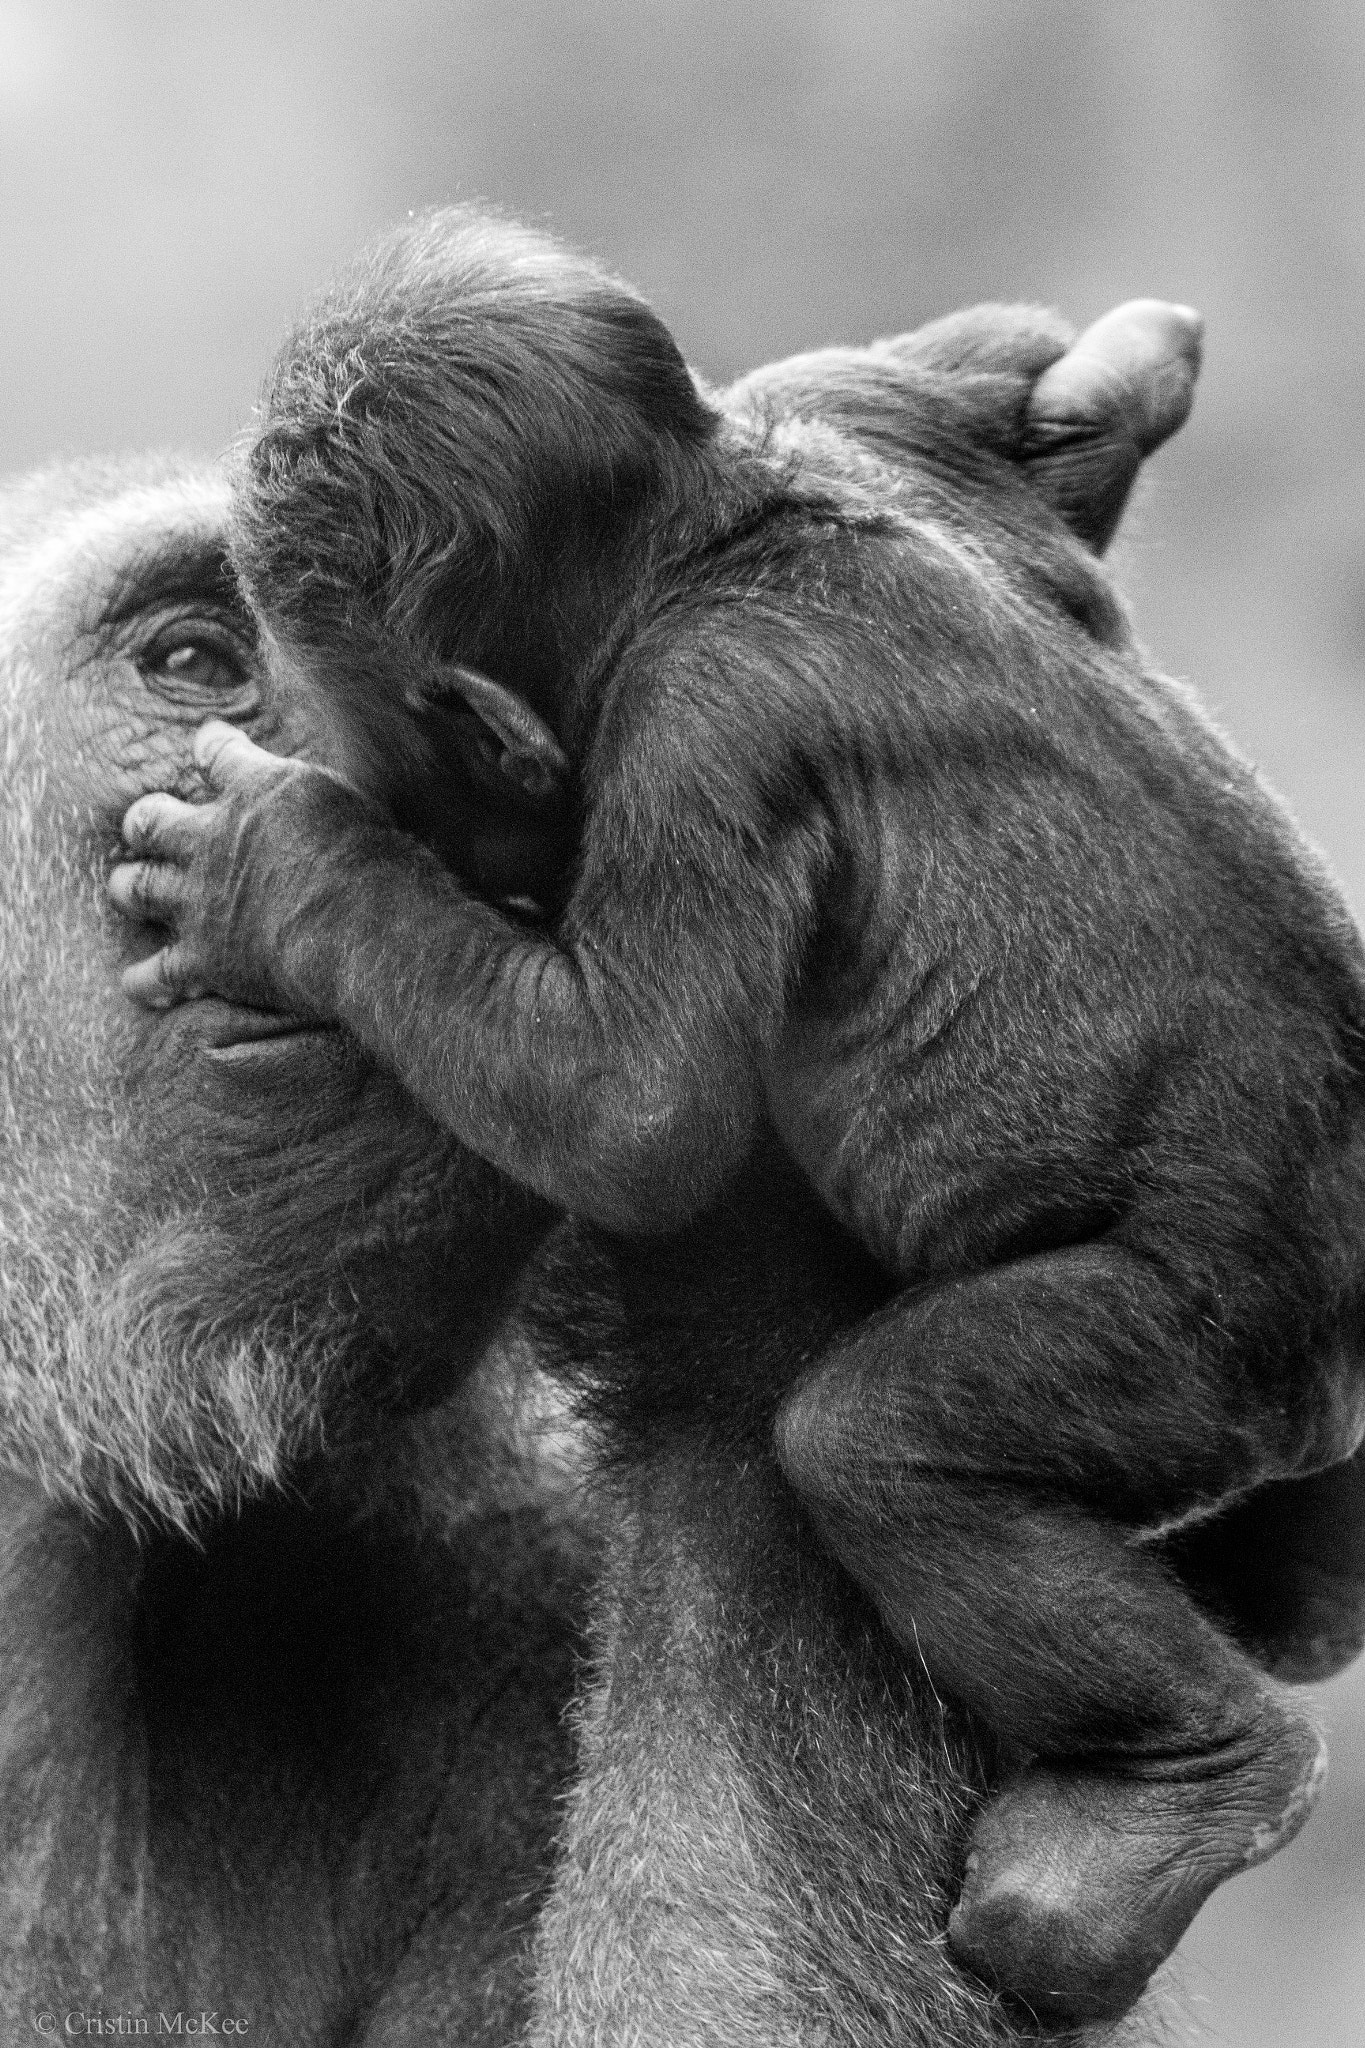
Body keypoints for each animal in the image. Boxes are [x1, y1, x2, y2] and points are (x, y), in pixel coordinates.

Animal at [106, 211, 1365, 2021]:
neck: (710, 543)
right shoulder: (851, 417)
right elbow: (987, 374)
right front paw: (1108, 382)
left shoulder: (696, 747)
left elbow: (635, 1113)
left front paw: (283, 874)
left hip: (1198, 1348)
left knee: (891, 1445)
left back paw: (1186, 1793)